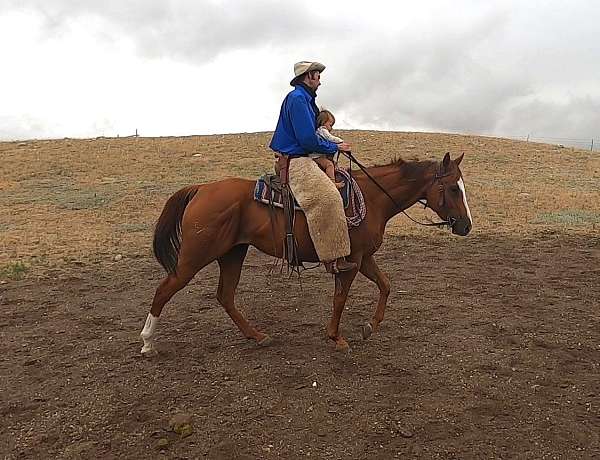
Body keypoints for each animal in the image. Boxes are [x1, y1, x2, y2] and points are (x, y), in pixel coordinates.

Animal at [141, 153, 474, 354]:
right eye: (453, 189)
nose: (466, 226)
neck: (373, 198)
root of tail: (201, 188)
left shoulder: (364, 258)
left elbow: (386, 285)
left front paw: (369, 327)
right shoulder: (350, 261)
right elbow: (340, 298)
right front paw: (336, 337)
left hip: (233, 253)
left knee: (225, 295)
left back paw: (257, 336)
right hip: (194, 257)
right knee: (164, 289)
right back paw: (147, 342)